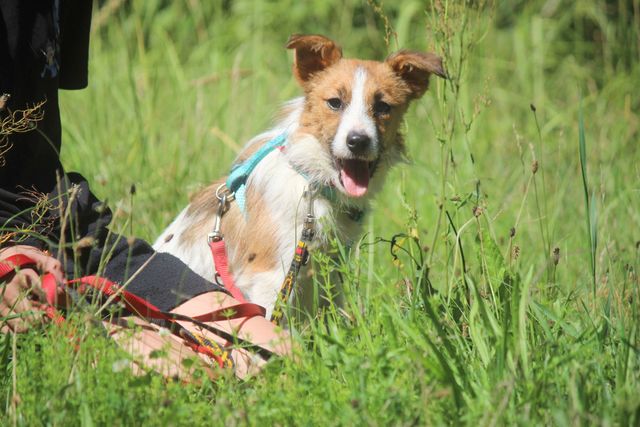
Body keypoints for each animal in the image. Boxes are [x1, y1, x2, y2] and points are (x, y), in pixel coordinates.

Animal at [155, 35, 444, 320]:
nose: (358, 141)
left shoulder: (330, 273)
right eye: (335, 102)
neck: (312, 181)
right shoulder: (271, 277)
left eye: (383, 107)